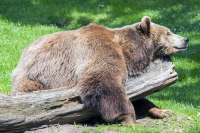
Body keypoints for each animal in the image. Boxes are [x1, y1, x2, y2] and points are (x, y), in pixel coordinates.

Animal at [11, 16, 188, 125]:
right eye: (168, 32)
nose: (185, 39)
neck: (128, 51)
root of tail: (22, 56)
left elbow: (139, 96)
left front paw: (163, 111)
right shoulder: (99, 49)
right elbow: (103, 82)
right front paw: (131, 118)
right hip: (34, 78)